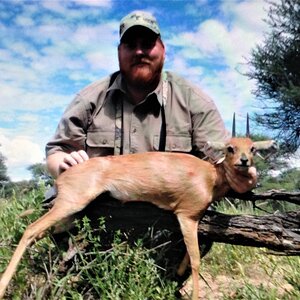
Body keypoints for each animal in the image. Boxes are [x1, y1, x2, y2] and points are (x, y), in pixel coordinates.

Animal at [0, 137, 276, 298]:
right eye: (230, 148)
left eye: (252, 147)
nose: (244, 161)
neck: (211, 175)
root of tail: (61, 178)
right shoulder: (186, 216)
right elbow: (197, 260)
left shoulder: (193, 220)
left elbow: (190, 257)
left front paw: (179, 270)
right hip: (69, 205)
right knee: (30, 229)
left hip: (69, 215)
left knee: (41, 234)